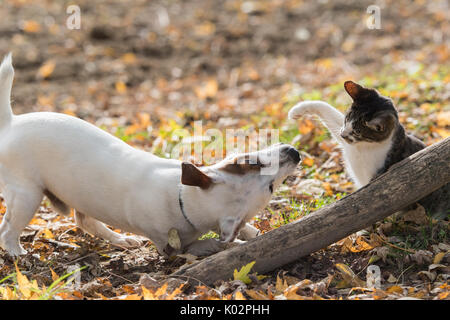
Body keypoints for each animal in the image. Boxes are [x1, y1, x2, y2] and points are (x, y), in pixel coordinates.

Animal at [0, 52, 302, 258]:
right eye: (252, 164)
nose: (295, 151)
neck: (183, 199)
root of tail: (10, 123)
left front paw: (252, 232)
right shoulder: (171, 247)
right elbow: (207, 244)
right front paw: (233, 243)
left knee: (84, 220)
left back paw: (121, 240)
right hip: (26, 196)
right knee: (7, 230)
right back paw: (17, 253)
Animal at [290, 81, 448, 219]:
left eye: (357, 131)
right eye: (347, 118)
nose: (343, 134)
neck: (363, 147)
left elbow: (367, 203)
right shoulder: (347, 142)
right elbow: (326, 109)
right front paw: (297, 110)